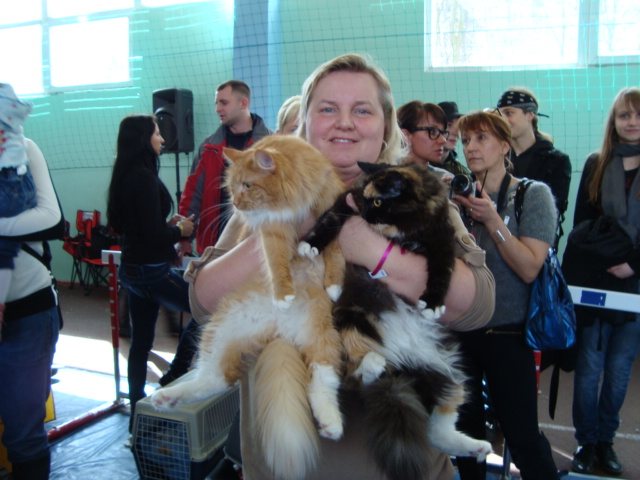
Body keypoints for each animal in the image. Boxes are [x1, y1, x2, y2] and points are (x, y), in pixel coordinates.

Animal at [149, 135, 346, 480]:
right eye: (231, 188)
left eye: (248, 186)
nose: (238, 207)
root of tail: (279, 333)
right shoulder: (273, 230)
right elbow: (277, 263)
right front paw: (283, 294)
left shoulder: (331, 207)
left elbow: (333, 251)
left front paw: (333, 283)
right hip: (220, 331)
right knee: (216, 380)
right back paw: (167, 397)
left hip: (321, 337)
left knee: (321, 383)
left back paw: (330, 423)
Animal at [298, 161, 492, 480]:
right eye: (365, 200)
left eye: (378, 202)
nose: (365, 214)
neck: (402, 229)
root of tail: (402, 359)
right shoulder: (344, 205)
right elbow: (327, 222)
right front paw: (309, 244)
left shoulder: (441, 238)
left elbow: (443, 271)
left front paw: (433, 303)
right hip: (353, 323)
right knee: (353, 380)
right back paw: (365, 375)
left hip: (449, 365)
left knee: (437, 428)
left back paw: (476, 447)